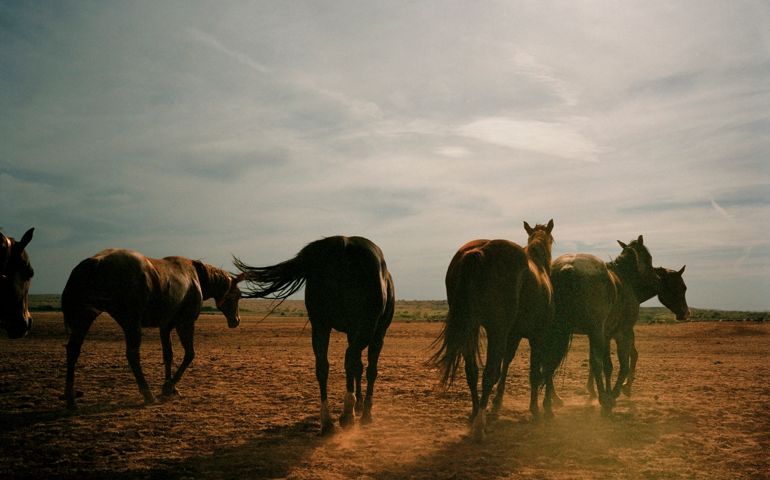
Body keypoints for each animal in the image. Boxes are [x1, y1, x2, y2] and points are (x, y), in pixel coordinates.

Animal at [61, 248, 244, 409]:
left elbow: (168, 355)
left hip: (85, 317)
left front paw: (171, 387)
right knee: (133, 355)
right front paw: (168, 387)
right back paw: (147, 394)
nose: (236, 321)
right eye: (237, 295)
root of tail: (95, 261)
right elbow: (189, 354)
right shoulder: (185, 323)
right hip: (131, 323)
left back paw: (71, 400)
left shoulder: (165, 327)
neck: (195, 277)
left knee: (73, 350)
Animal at [233, 236, 395, 435]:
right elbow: (371, 370)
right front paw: (365, 413)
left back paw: (328, 421)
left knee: (323, 366)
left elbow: (358, 367)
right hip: (365, 327)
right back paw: (347, 414)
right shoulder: (378, 334)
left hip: (321, 326)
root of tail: (344, 244)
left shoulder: (350, 331)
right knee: (350, 359)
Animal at [431, 220, 569, 441]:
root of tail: (479, 251)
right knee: (488, 373)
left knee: (473, 371)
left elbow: (506, 363)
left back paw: (475, 413)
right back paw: (480, 425)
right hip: (496, 330)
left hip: (471, 326)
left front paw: (497, 402)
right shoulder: (536, 336)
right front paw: (537, 409)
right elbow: (534, 371)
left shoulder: (513, 335)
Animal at [549, 235, 659, 415]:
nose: (657, 279)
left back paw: (555, 398)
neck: (623, 279)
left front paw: (609, 392)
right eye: (648, 257)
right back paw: (602, 398)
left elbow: (608, 366)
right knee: (596, 363)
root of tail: (567, 267)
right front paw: (613, 394)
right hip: (594, 333)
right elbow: (622, 365)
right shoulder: (623, 333)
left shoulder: (606, 335)